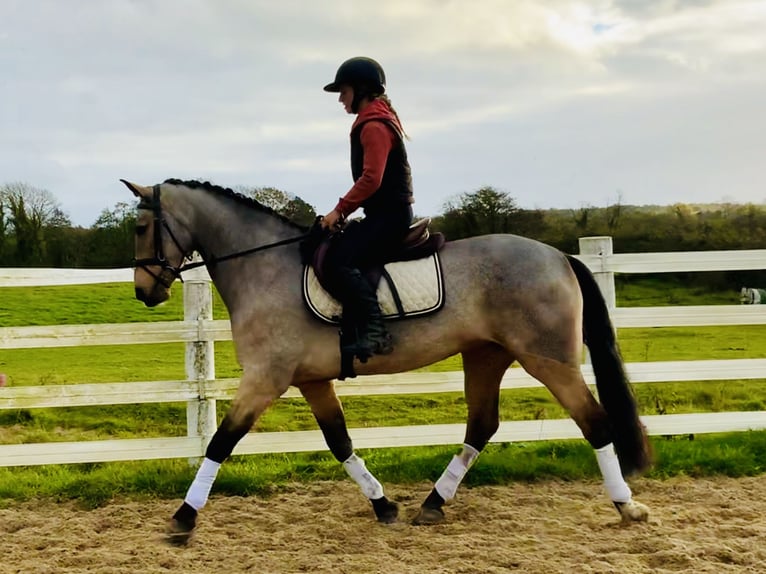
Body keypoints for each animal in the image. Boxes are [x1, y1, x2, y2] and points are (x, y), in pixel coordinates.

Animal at [121, 178, 656, 548]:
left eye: (141, 227)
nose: (145, 292)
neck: (264, 268)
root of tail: (560, 257)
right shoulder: (311, 381)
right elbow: (340, 443)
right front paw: (383, 506)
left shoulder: (265, 379)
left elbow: (221, 442)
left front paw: (183, 518)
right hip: (486, 355)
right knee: (482, 425)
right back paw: (432, 504)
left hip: (548, 359)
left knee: (594, 421)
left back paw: (627, 506)